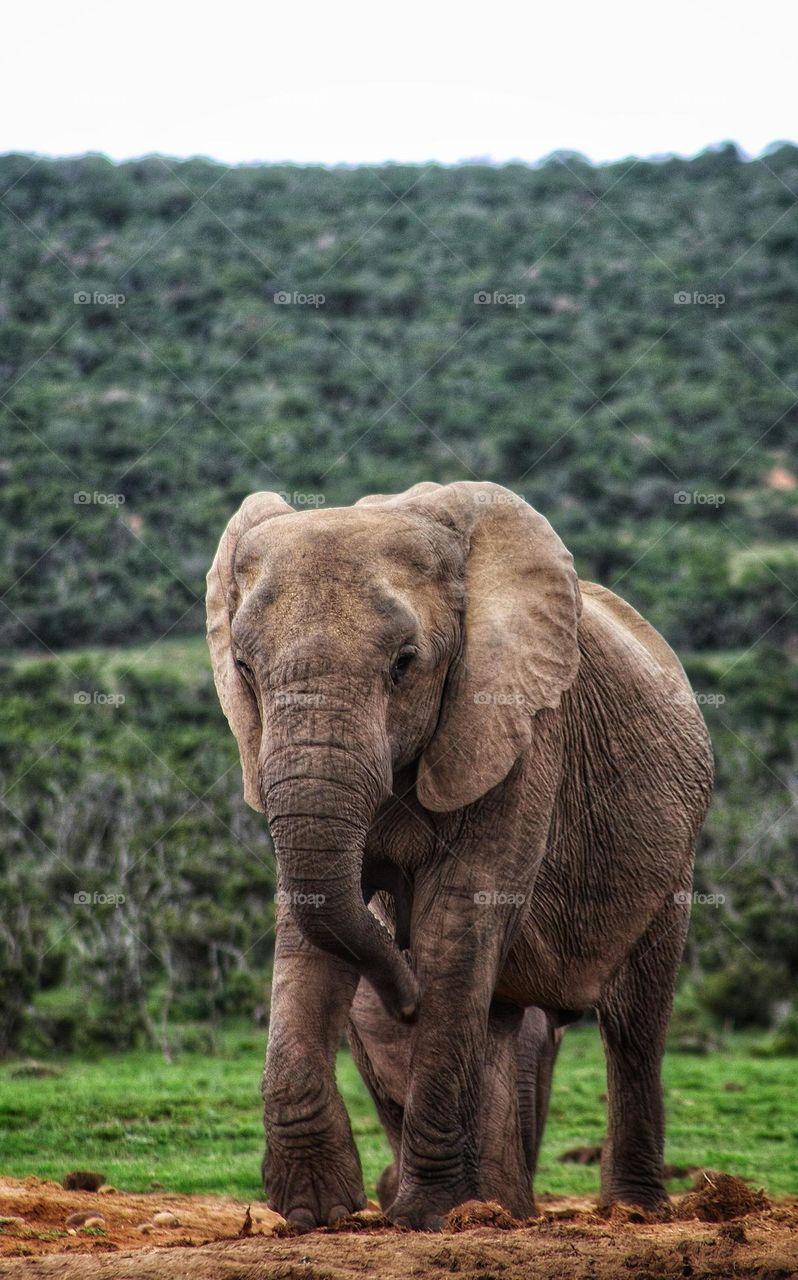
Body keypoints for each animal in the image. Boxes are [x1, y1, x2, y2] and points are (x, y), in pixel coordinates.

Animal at [206, 480, 713, 1231]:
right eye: (243, 669)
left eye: (404, 664)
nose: (402, 991)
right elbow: (311, 919)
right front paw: (318, 1214)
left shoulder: (515, 729)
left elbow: (456, 922)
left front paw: (424, 1216)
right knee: (499, 1017)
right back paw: (500, 1209)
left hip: (672, 852)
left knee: (632, 1025)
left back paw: (632, 1212)